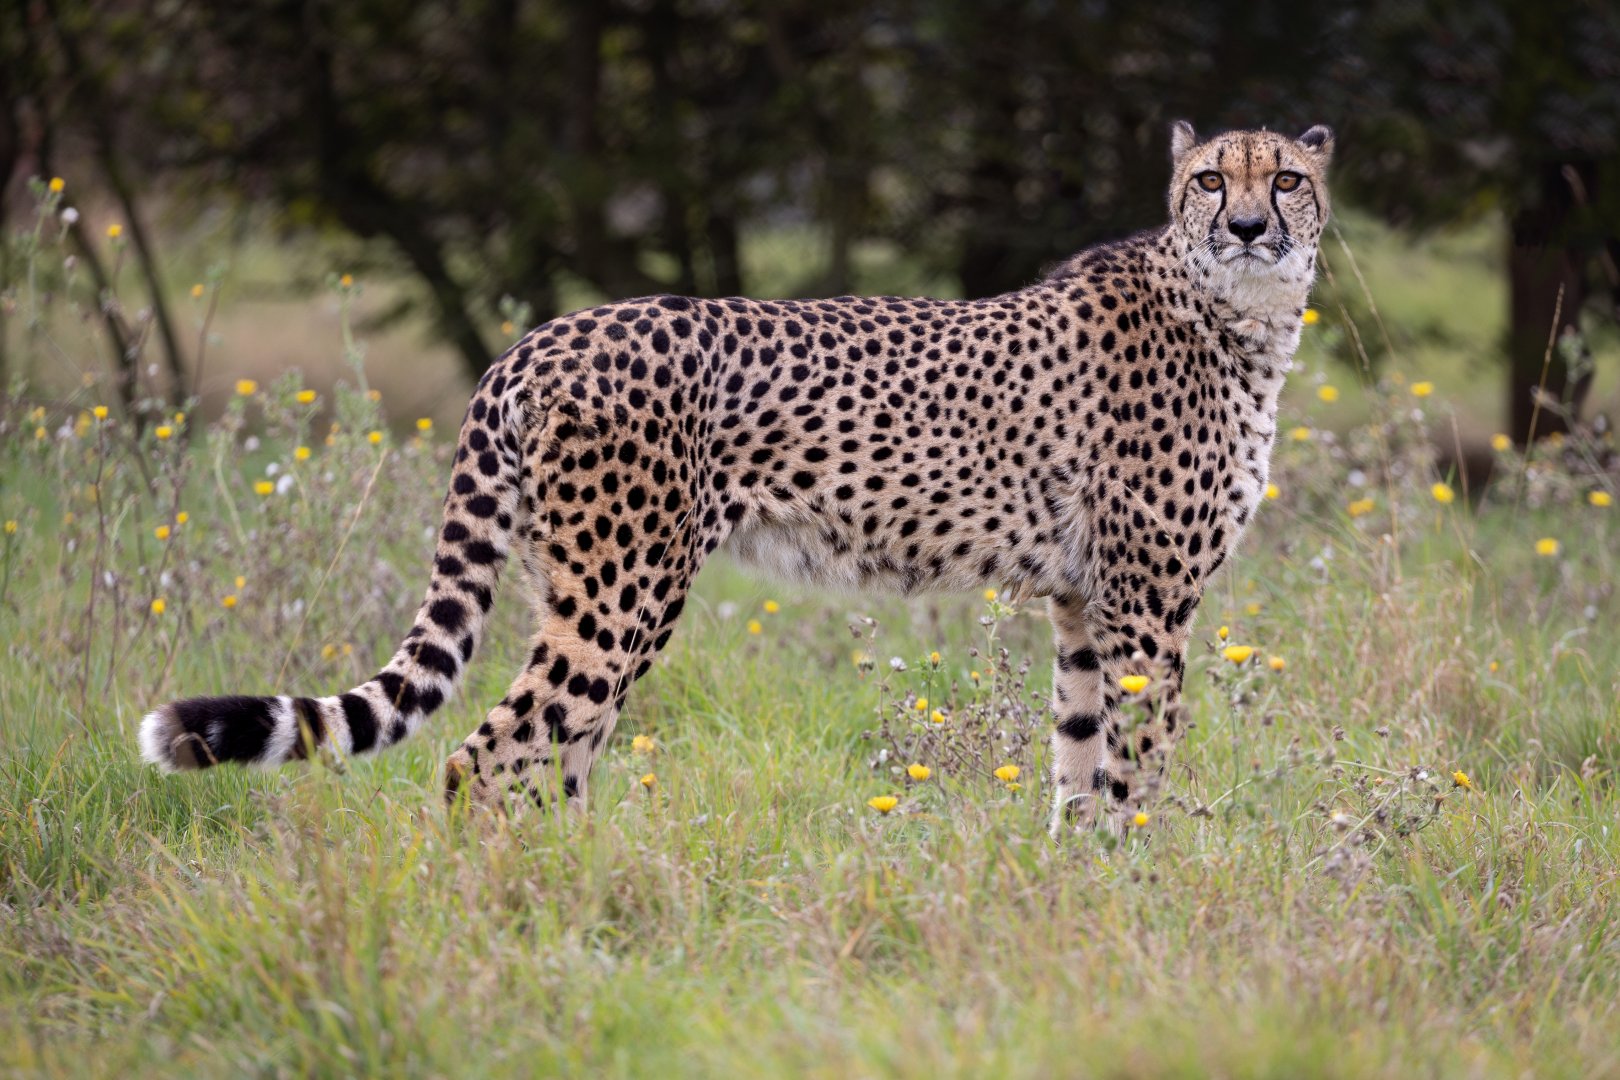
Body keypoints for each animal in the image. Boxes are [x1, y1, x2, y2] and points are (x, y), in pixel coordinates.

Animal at [140, 121, 1334, 837]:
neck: (1237, 314)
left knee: (563, 754)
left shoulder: (1085, 602)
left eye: (1287, 178)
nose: (1247, 225)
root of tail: (546, 334)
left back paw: (588, 899)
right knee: (492, 752)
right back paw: (506, 919)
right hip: (622, 586)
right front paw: (1144, 896)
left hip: (588, 588)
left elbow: (1082, 765)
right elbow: (1140, 765)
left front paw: (1079, 892)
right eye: (1210, 179)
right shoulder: (1147, 603)